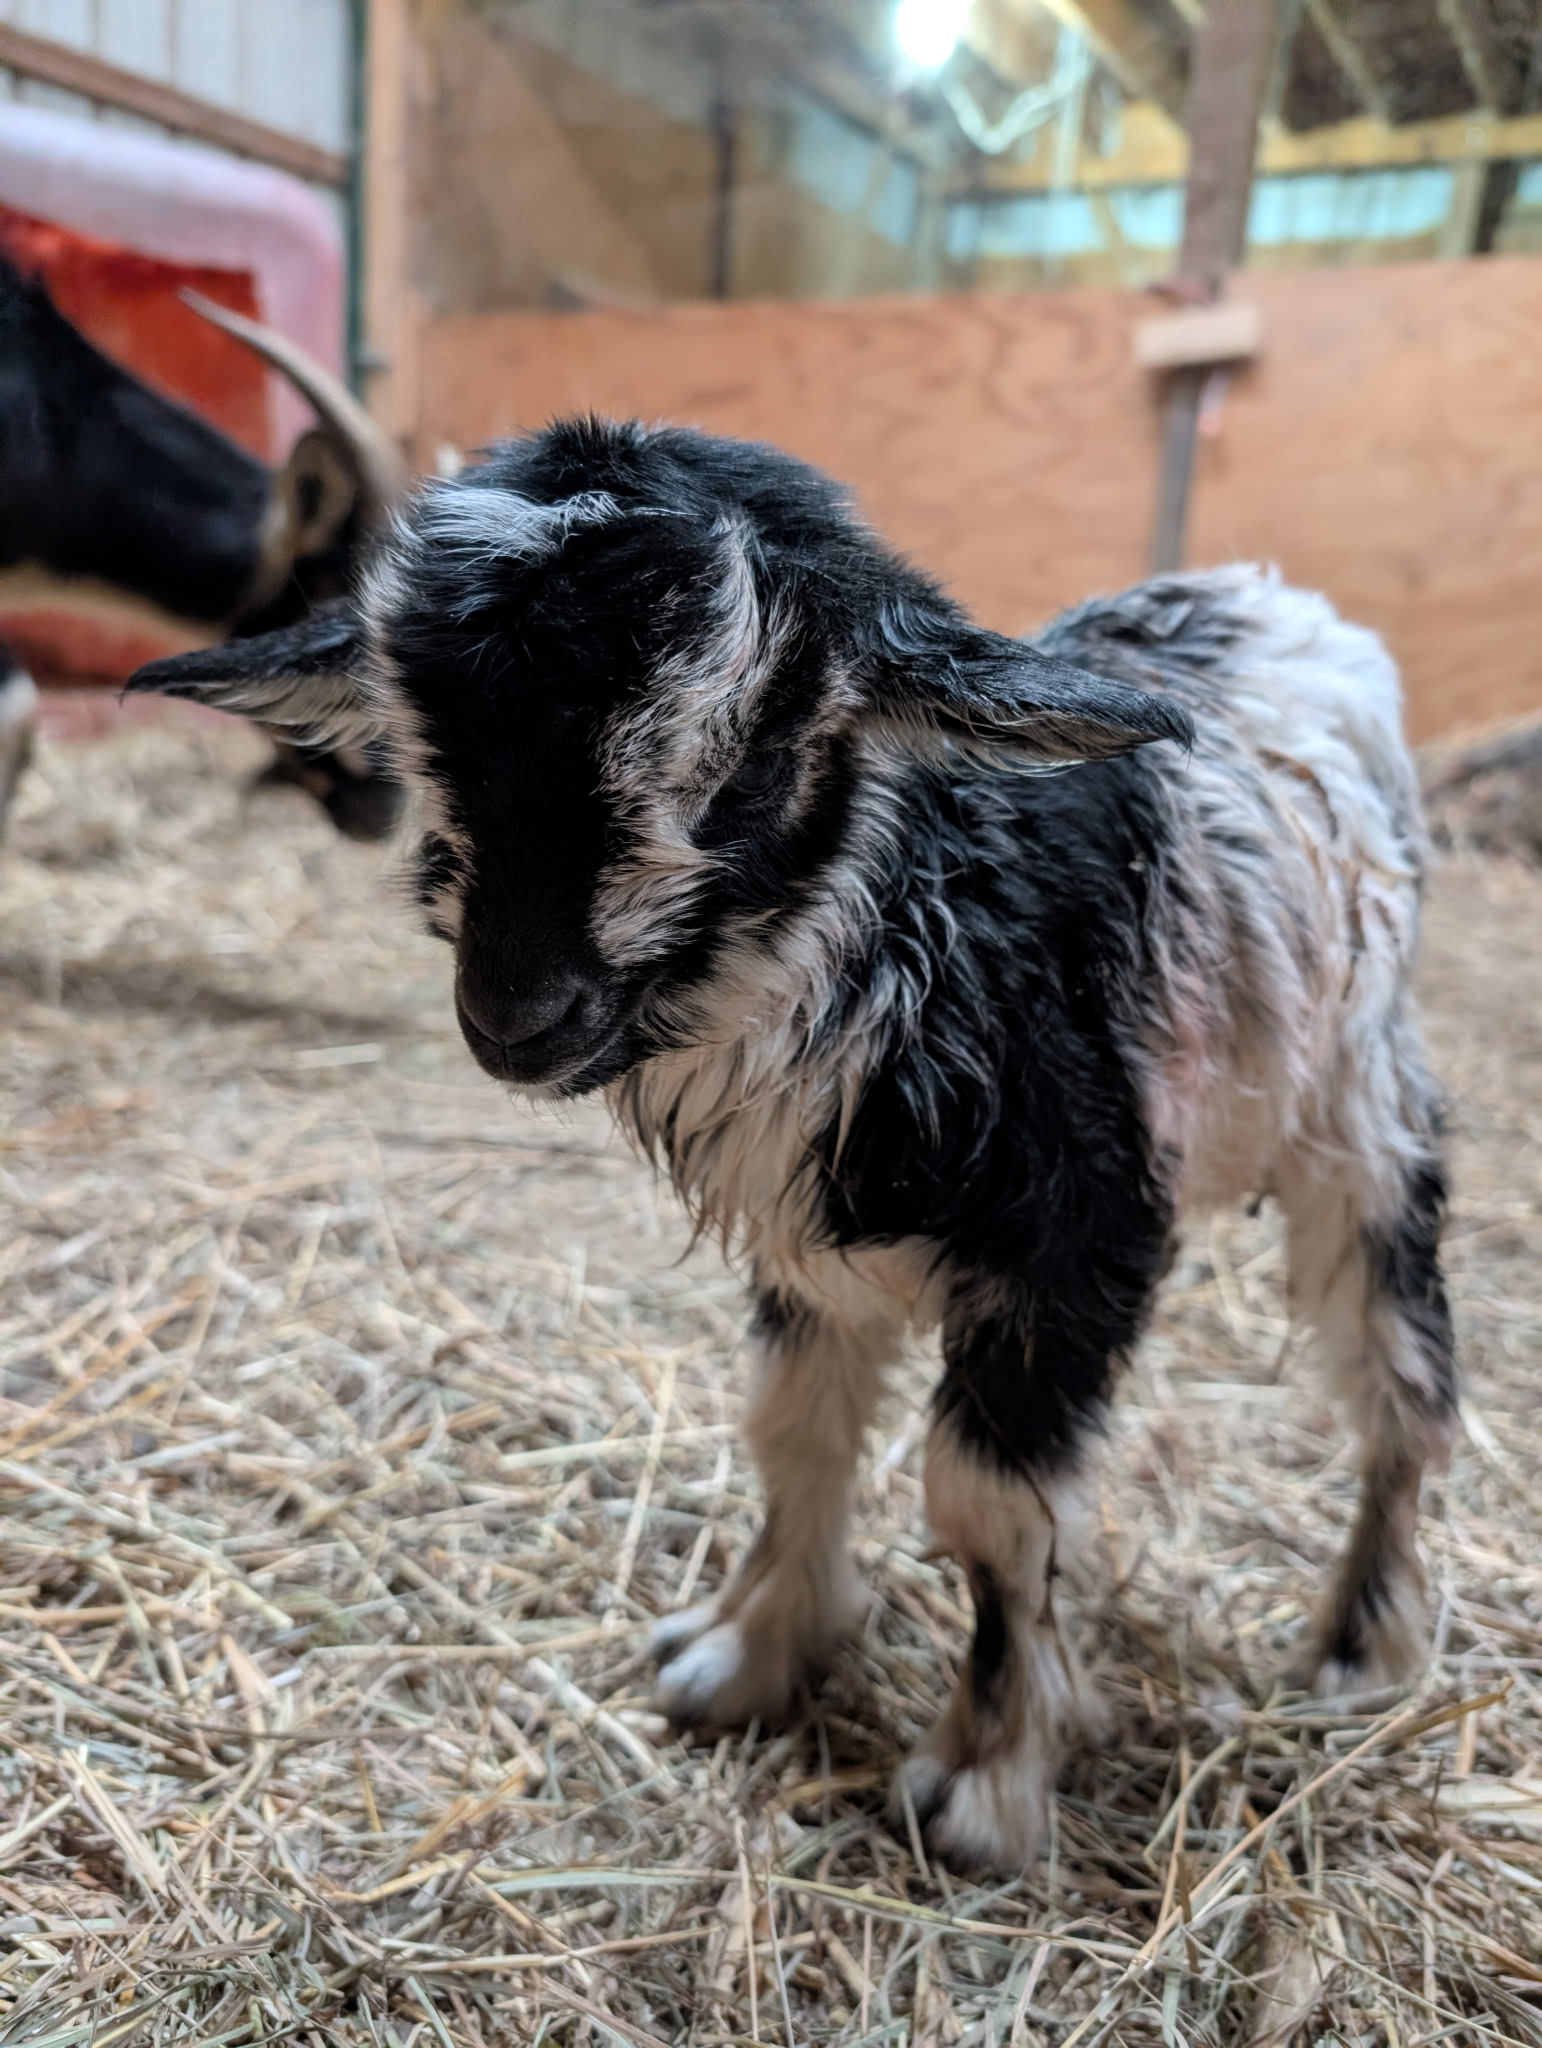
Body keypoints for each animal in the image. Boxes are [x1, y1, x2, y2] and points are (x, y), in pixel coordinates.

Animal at [128, 419, 1456, 1872]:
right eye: (428, 760)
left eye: (753, 765)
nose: (513, 1013)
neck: (913, 930)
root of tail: (1273, 596)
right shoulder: (809, 1245)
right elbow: (792, 1431)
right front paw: (751, 1653)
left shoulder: (1078, 1240)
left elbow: (991, 1507)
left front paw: (987, 1777)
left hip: (1364, 1113)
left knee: (1400, 1382)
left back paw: (1358, 1646)